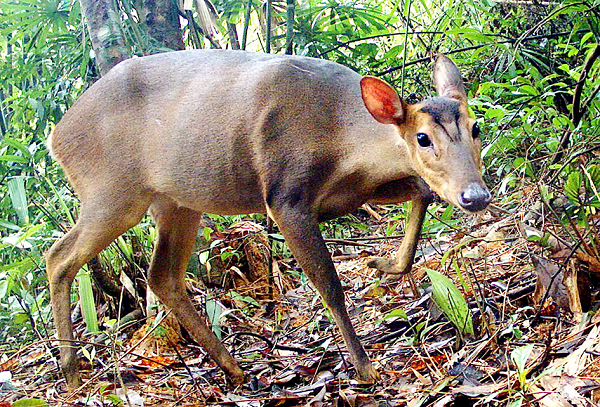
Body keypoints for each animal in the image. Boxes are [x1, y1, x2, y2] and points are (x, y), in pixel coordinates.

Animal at [44, 49, 490, 390]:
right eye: (422, 138)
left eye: (475, 127)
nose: (475, 195)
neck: (343, 137)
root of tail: (55, 137)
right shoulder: (284, 194)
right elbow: (329, 285)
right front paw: (366, 368)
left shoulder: (356, 192)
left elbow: (423, 191)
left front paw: (384, 263)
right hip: (112, 191)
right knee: (59, 256)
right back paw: (70, 372)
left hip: (177, 201)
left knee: (161, 276)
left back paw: (234, 369)